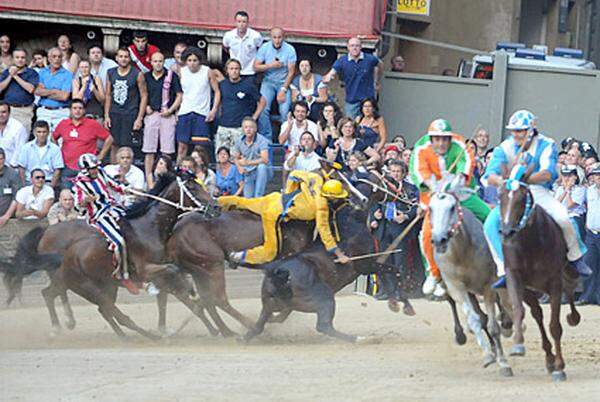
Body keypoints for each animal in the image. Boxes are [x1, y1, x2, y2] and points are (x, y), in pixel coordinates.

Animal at [3, 173, 219, 340]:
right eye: (192, 187)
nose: (215, 206)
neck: (148, 228)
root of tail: (46, 232)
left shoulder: (160, 273)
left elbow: (175, 298)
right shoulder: (147, 270)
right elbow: (174, 279)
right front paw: (188, 290)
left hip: (100, 284)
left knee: (84, 303)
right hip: (72, 280)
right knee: (54, 295)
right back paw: (61, 326)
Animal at [428, 185, 512, 376]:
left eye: (452, 207)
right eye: (430, 209)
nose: (439, 240)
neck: (463, 252)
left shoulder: (489, 285)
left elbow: (494, 326)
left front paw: (504, 363)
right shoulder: (456, 286)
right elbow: (475, 320)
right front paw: (488, 355)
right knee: (476, 315)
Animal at [496, 181, 580, 382]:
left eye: (521, 199)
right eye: (500, 196)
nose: (507, 232)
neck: (531, 243)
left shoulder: (554, 280)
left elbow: (555, 326)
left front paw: (560, 367)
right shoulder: (515, 277)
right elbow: (519, 311)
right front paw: (518, 345)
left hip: (564, 274)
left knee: (570, 289)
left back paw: (573, 317)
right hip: (531, 289)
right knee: (537, 314)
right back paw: (548, 358)